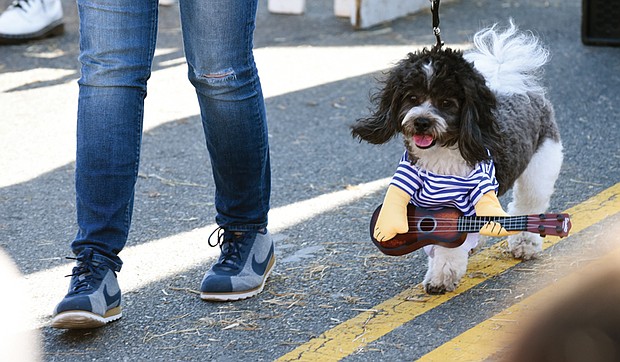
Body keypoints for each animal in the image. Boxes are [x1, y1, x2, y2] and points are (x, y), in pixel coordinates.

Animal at [354, 21, 560, 294]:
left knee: (529, 203)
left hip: (540, 166)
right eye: (412, 98)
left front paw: (441, 278)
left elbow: (449, 249)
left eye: (446, 102)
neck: (440, 156)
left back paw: (525, 243)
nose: (422, 122)